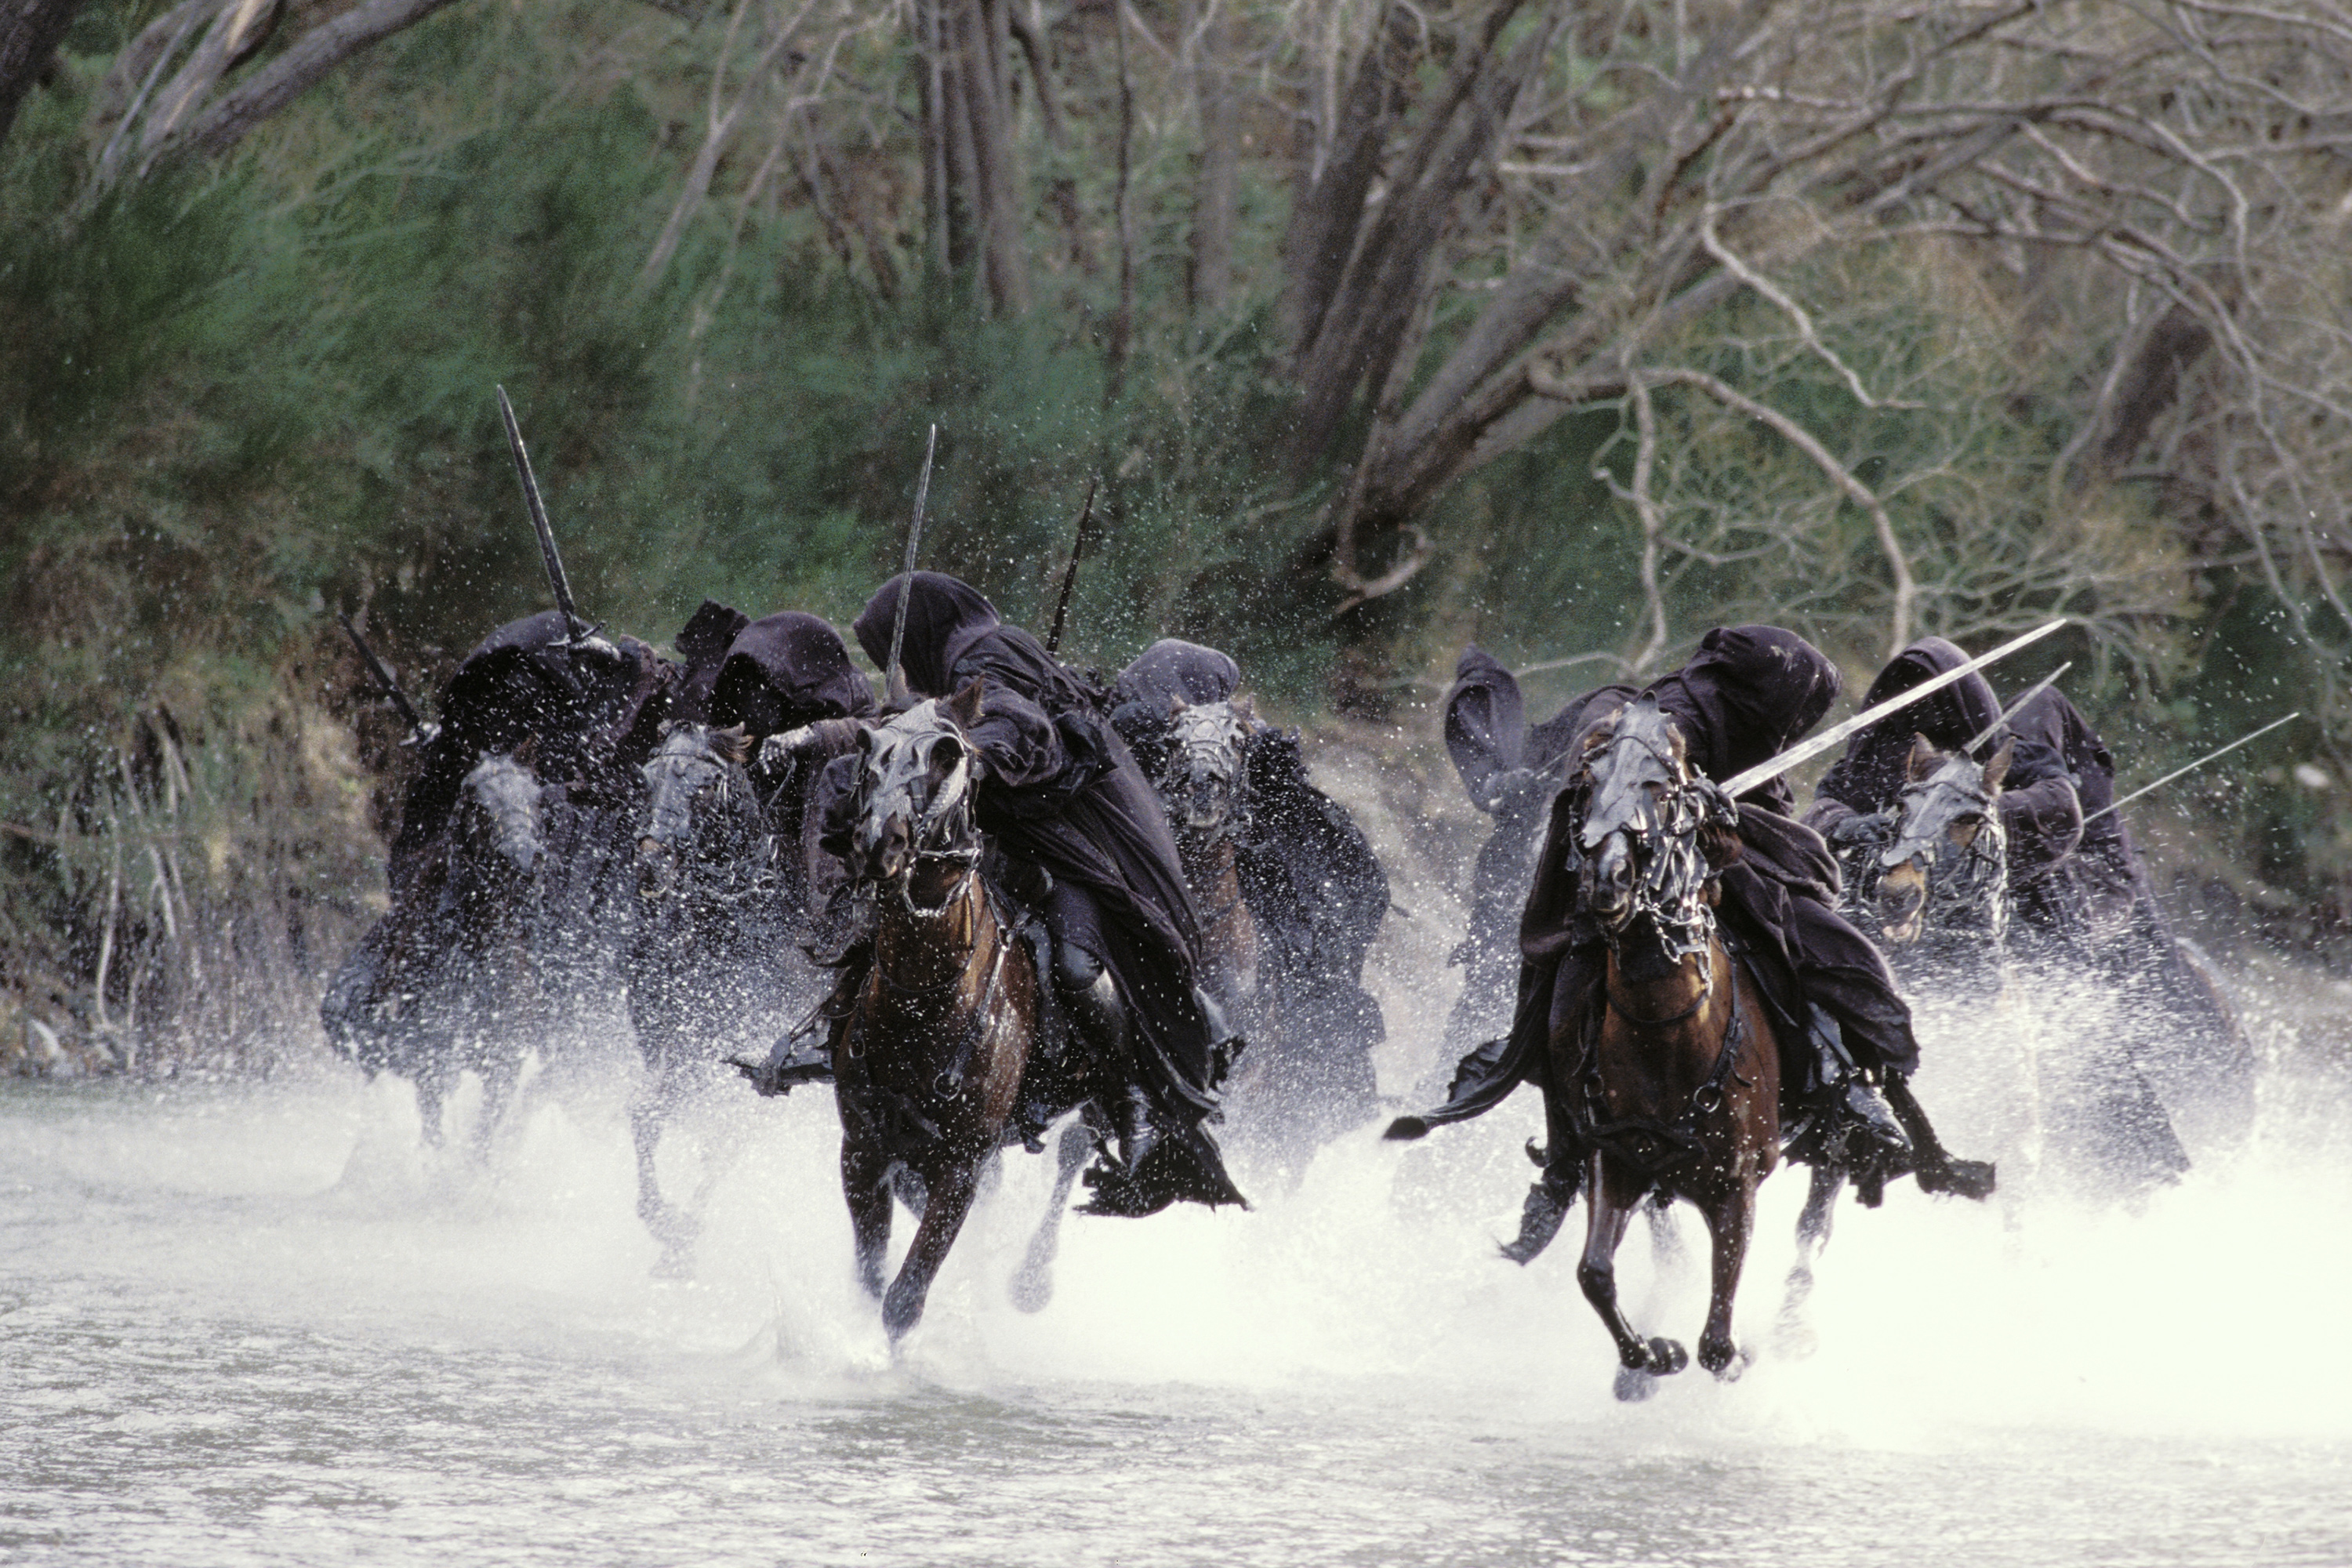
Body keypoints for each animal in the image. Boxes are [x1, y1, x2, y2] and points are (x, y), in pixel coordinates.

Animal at [828, 681, 1101, 1345]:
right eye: (868, 743)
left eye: (949, 755)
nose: (879, 842)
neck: (923, 1008)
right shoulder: (863, 1150)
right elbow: (872, 1277)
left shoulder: (960, 1167)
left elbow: (904, 1299)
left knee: (1076, 1149)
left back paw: (1031, 1280)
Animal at [1562, 695, 1778, 1401]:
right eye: (1587, 781)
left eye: (1661, 786)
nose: (1608, 879)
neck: (1665, 1039)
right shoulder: (1616, 1162)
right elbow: (1594, 1274)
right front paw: (1651, 1356)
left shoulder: (1736, 1186)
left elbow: (1717, 1340)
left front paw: (1733, 1355)